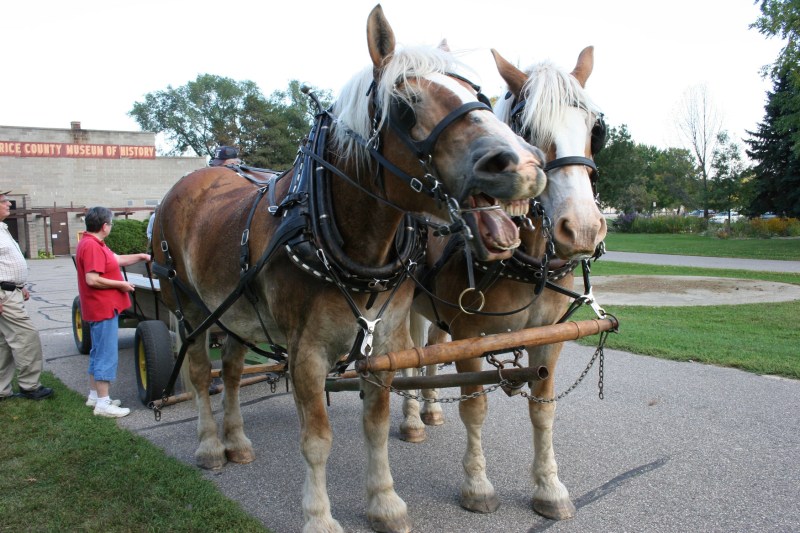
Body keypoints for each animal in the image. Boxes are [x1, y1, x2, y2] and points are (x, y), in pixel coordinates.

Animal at [151, 6, 546, 532]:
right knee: (198, 373)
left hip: (234, 311)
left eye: (479, 94)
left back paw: (237, 442)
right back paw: (211, 446)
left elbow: (375, 425)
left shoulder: (384, 344)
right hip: (190, 307)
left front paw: (384, 502)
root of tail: (189, 182)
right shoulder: (307, 352)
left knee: (231, 371)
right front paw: (319, 517)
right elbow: (316, 440)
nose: (524, 164)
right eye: (406, 104)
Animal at [401, 46, 608, 520]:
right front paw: (477, 487)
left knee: (429, 350)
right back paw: (410, 419)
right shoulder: (470, 336)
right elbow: (475, 407)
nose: (583, 229)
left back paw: (430, 410)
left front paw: (549, 489)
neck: (523, 260)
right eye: (527, 128)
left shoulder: (548, 336)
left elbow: (544, 409)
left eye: (595, 128)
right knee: (405, 355)